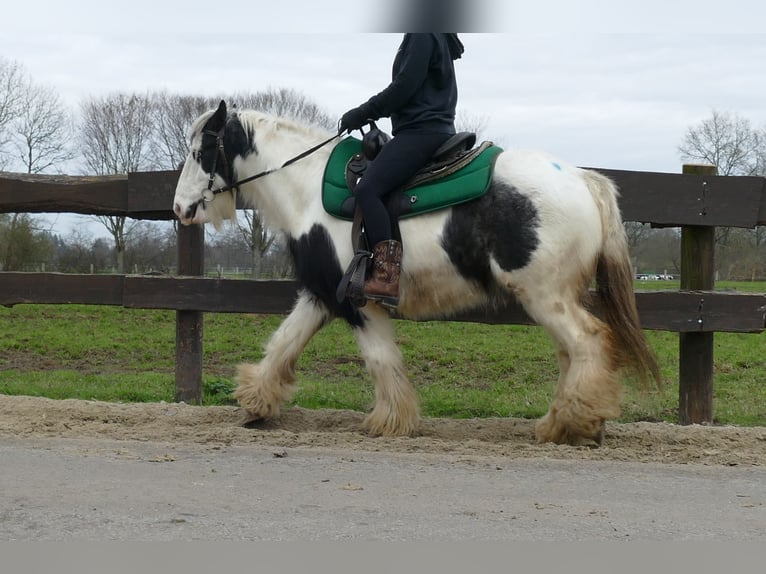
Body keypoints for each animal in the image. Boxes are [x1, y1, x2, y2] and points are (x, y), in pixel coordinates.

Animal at [172, 101, 660, 448]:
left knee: (588, 342)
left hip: (545, 295)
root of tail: (584, 180)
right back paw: (567, 422)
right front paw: (255, 404)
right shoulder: (321, 294)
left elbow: (380, 359)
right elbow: (284, 343)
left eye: (201, 152)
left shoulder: (357, 301)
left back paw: (572, 425)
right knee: (572, 355)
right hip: (554, 296)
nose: (179, 208)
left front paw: (391, 421)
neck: (307, 188)